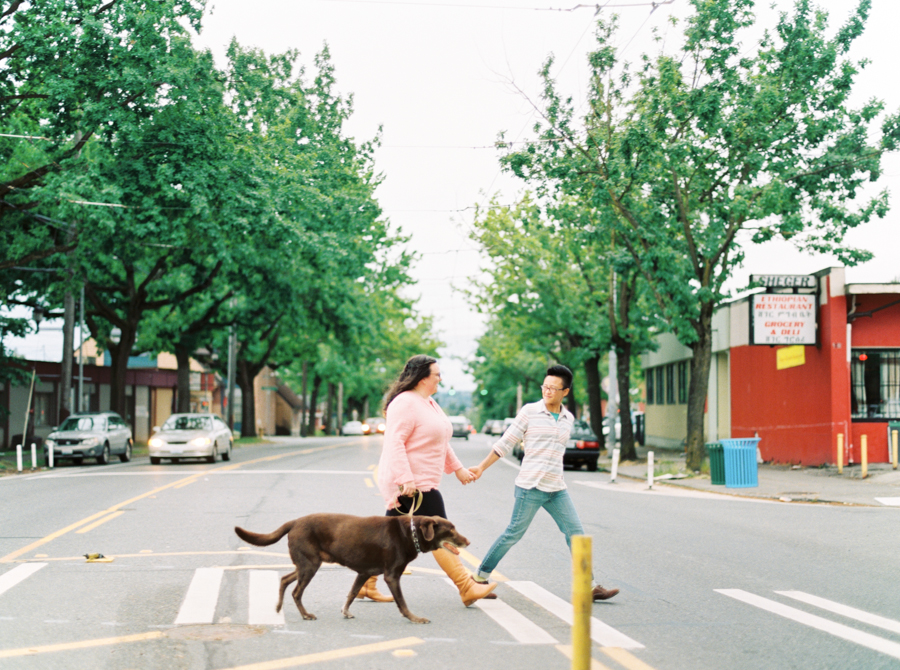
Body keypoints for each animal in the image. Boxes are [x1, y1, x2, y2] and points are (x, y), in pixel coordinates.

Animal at [232, 516, 472, 628]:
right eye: (451, 530)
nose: (468, 541)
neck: (409, 533)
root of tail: (294, 522)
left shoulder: (363, 573)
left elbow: (352, 593)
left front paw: (345, 612)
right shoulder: (392, 576)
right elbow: (402, 603)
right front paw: (415, 618)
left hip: (306, 564)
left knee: (284, 579)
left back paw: (278, 606)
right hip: (310, 565)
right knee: (296, 592)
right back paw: (305, 614)